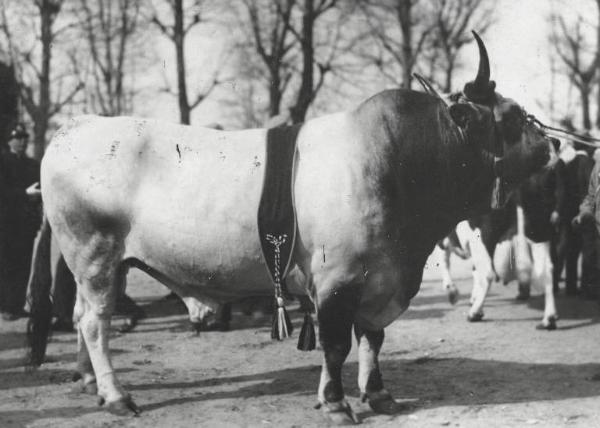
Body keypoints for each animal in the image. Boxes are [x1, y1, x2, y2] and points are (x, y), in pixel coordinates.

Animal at [28, 31, 552, 422]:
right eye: (510, 118)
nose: (551, 145)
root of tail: (74, 127)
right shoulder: (339, 279)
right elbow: (337, 343)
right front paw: (337, 403)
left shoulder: (381, 279)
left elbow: (373, 338)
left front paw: (377, 394)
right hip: (93, 253)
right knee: (94, 322)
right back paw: (117, 396)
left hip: (103, 264)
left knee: (81, 315)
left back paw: (90, 383)